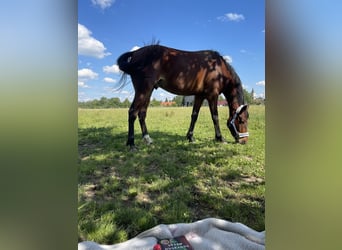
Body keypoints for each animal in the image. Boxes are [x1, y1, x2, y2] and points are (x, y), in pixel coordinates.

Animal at [117, 44, 248, 149]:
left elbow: (194, 116)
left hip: (148, 92)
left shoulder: (199, 96)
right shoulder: (212, 95)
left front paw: (190, 137)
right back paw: (131, 143)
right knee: (132, 112)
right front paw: (220, 138)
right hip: (143, 90)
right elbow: (215, 117)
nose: (244, 141)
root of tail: (136, 52)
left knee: (142, 113)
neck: (217, 68)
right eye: (241, 120)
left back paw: (147, 139)